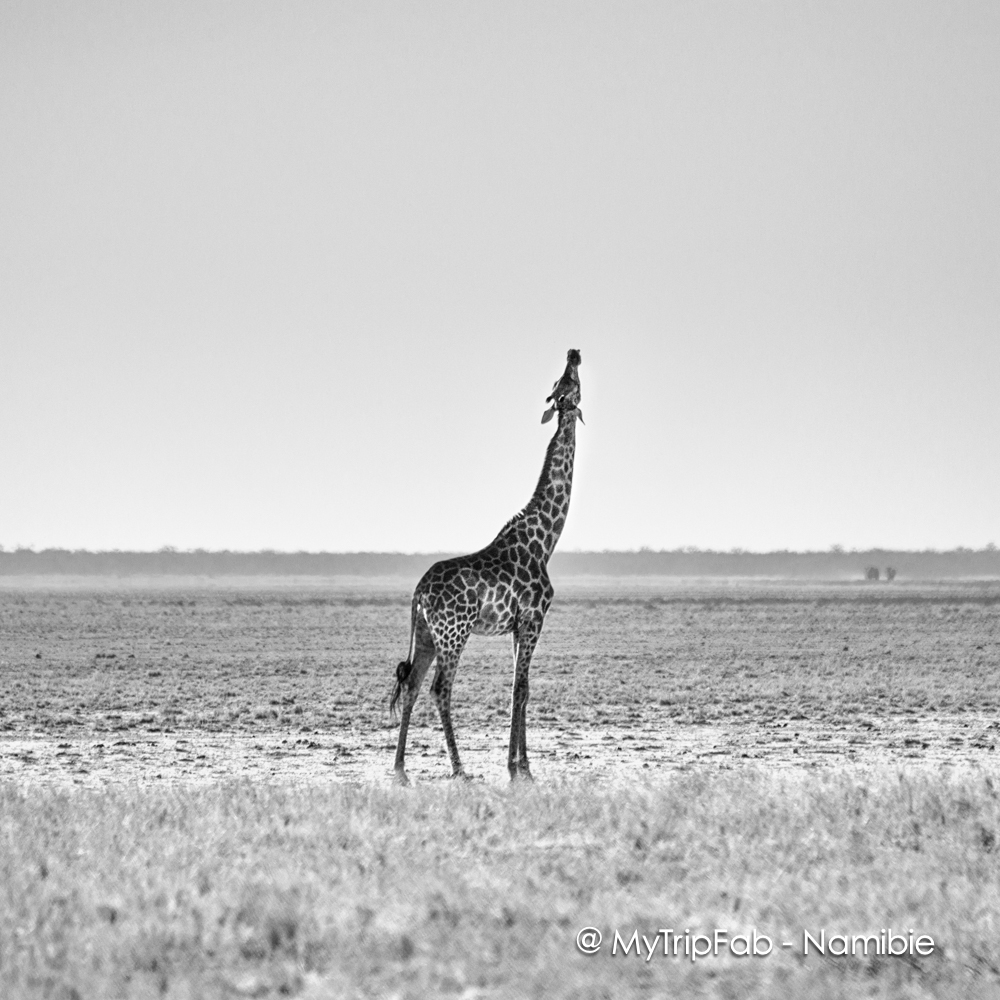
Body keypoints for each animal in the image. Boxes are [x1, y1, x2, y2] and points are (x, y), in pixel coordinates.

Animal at [390, 349, 583, 784]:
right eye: (566, 382)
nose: (574, 353)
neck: (545, 540)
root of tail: (418, 594)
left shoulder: (518, 624)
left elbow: (521, 688)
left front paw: (522, 765)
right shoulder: (534, 617)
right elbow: (520, 688)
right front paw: (516, 768)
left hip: (426, 635)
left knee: (411, 685)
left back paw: (400, 769)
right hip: (454, 633)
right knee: (439, 689)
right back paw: (459, 769)